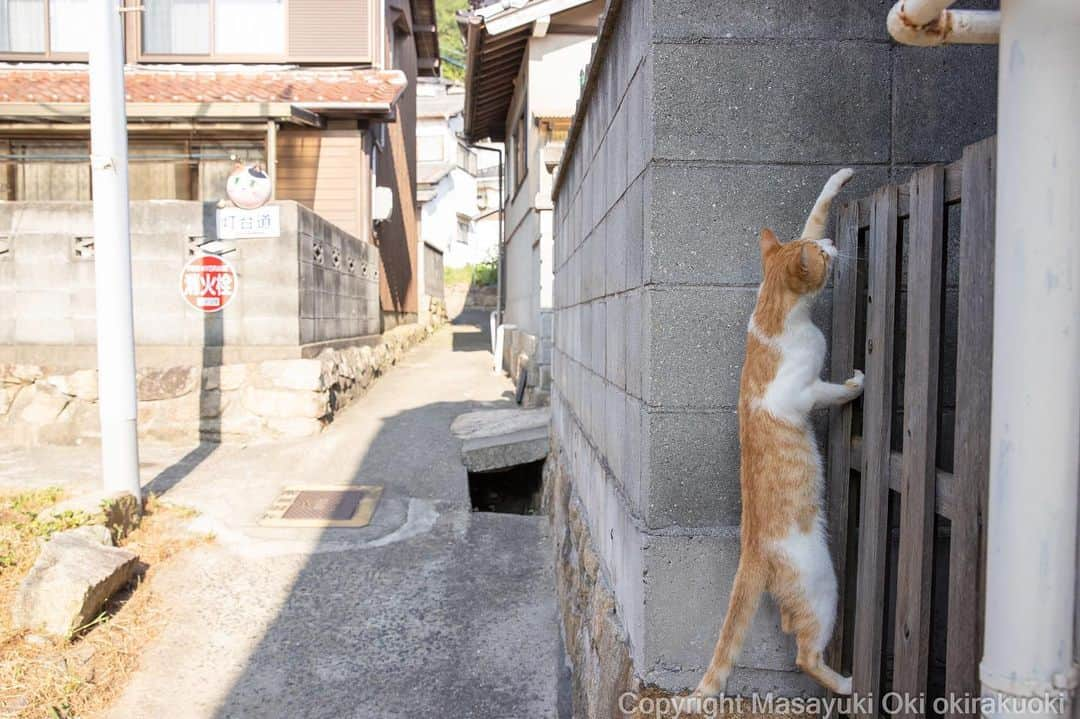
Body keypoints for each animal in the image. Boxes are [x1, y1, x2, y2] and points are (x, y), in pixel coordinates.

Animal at [682, 168, 868, 703]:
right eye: (822, 257)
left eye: (818, 244)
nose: (831, 244)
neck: (772, 313)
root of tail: (750, 548)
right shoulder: (803, 393)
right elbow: (832, 391)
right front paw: (856, 385)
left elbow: (817, 205)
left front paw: (839, 177)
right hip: (821, 583)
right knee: (805, 653)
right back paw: (847, 682)